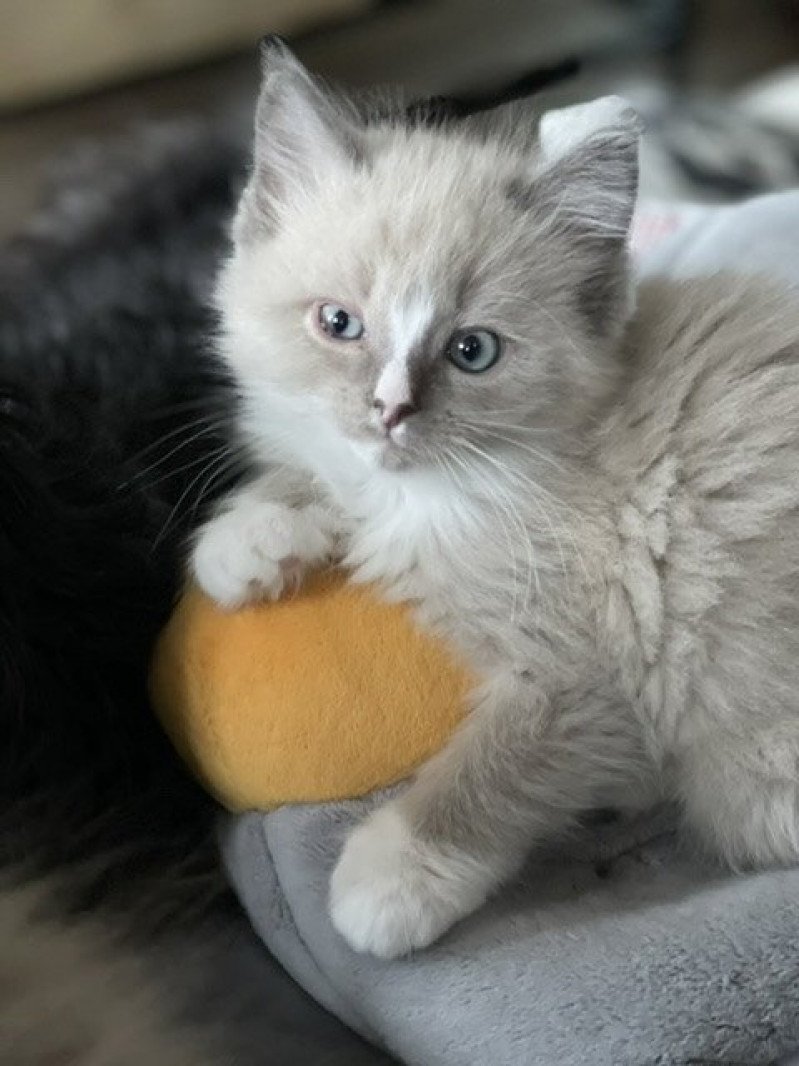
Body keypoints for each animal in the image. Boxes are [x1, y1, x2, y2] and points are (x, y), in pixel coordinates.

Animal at [196, 39, 799, 959]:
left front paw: (391, 877)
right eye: (339, 323)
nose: (391, 410)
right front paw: (250, 538)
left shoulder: (597, 675)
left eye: (471, 351)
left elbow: (495, 770)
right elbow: (328, 472)